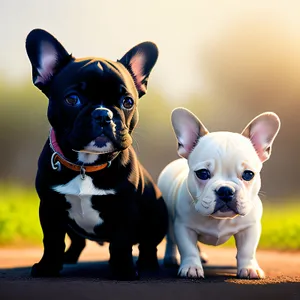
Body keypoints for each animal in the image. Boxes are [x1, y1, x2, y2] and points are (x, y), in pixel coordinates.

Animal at [25, 29, 168, 280]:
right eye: (72, 99)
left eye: (127, 101)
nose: (103, 114)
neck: (86, 166)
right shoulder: (50, 208)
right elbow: (52, 241)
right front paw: (48, 267)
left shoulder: (125, 209)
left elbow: (121, 243)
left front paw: (123, 270)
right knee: (77, 241)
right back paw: (69, 258)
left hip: (157, 216)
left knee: (148, 244)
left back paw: (147, 264)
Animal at [158, 108, 280, 278]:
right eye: (202, 173)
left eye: (248, 174)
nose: (225, 190)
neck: (218, 220)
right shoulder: (183, 227)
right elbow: (188, 249)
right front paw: (191, 267)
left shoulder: (250, 228)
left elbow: (247, 250)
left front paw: (249, 268)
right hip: (168, 220)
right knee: (171, 240)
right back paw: (171, 257)